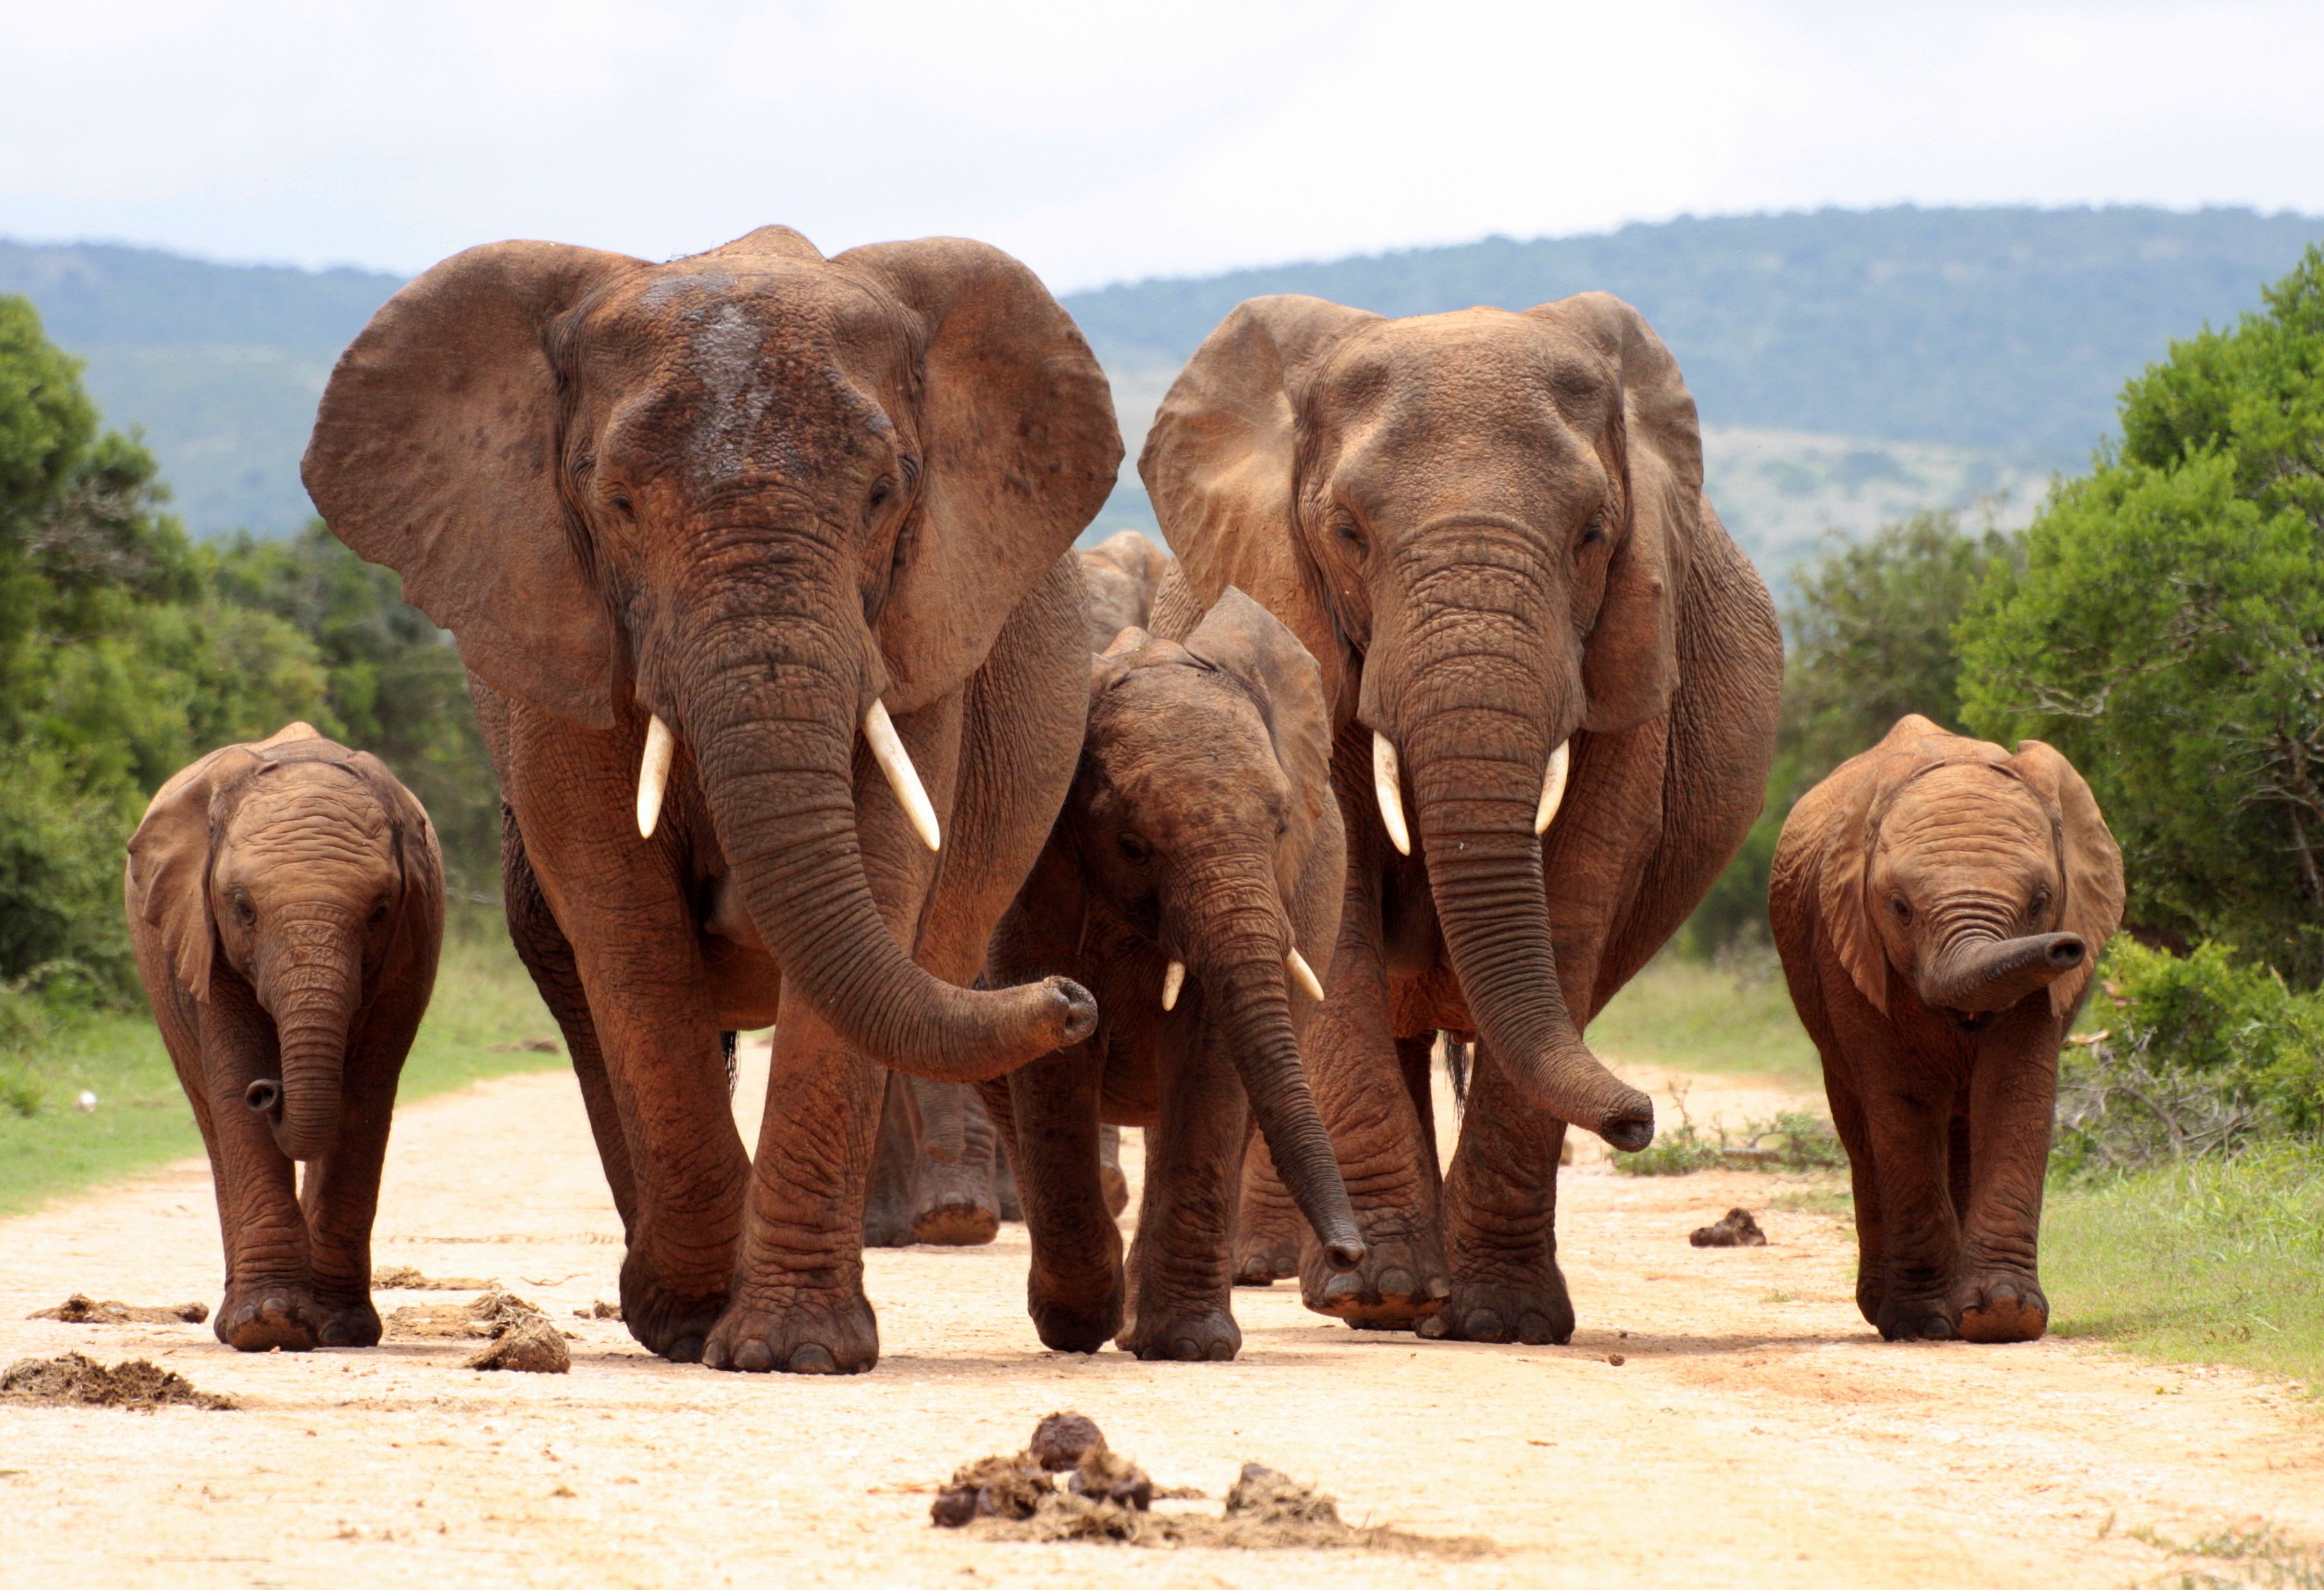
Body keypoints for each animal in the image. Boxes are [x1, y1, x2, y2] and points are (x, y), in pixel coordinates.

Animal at [123, 723, 444, 1352]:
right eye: (243, 908)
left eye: (380, 911)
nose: (269, 1092)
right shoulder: (202, 933)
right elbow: (233, 1079)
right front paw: (269, 1323)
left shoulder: (411, 943)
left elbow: (366, 1097)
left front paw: (341, 1329)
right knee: (210, 1112)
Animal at [303, 226, 1120, 1374]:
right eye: (616, 504)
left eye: (885, 494)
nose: (1073, 999)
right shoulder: (554, 634)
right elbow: (624, 923)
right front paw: (694, 1320)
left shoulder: (917, 634)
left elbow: (878, 882)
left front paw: (792, 1350)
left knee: (943, 982)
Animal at [983, 586, 1365, 1361]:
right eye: (1131, 845)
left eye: (1282, 827)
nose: (1350, 1255)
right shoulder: (1033, 878)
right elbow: (1053, 1053)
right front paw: (1079, 1326)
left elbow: (1211, 1055)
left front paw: (1189, 1344)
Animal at [1141, 292, 1784, 1343]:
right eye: (1347, 531)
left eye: (1593, 533)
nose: (1640, 1118)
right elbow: (1340, 903)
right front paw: (1386, 1296)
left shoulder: (1628, 661)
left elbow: (1573, 899)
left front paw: (1503, 1322)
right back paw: (1349, 1284)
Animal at [1769, 715, 2124, 1343]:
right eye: (1899, 908)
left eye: (2040, 902)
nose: (2066, 948)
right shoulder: (1848, 947)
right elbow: (1901, 1104)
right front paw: (1922, 1324)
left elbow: (2014, 1090)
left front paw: (2003, 1315)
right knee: (1861, 1128)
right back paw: (1886, 1309)